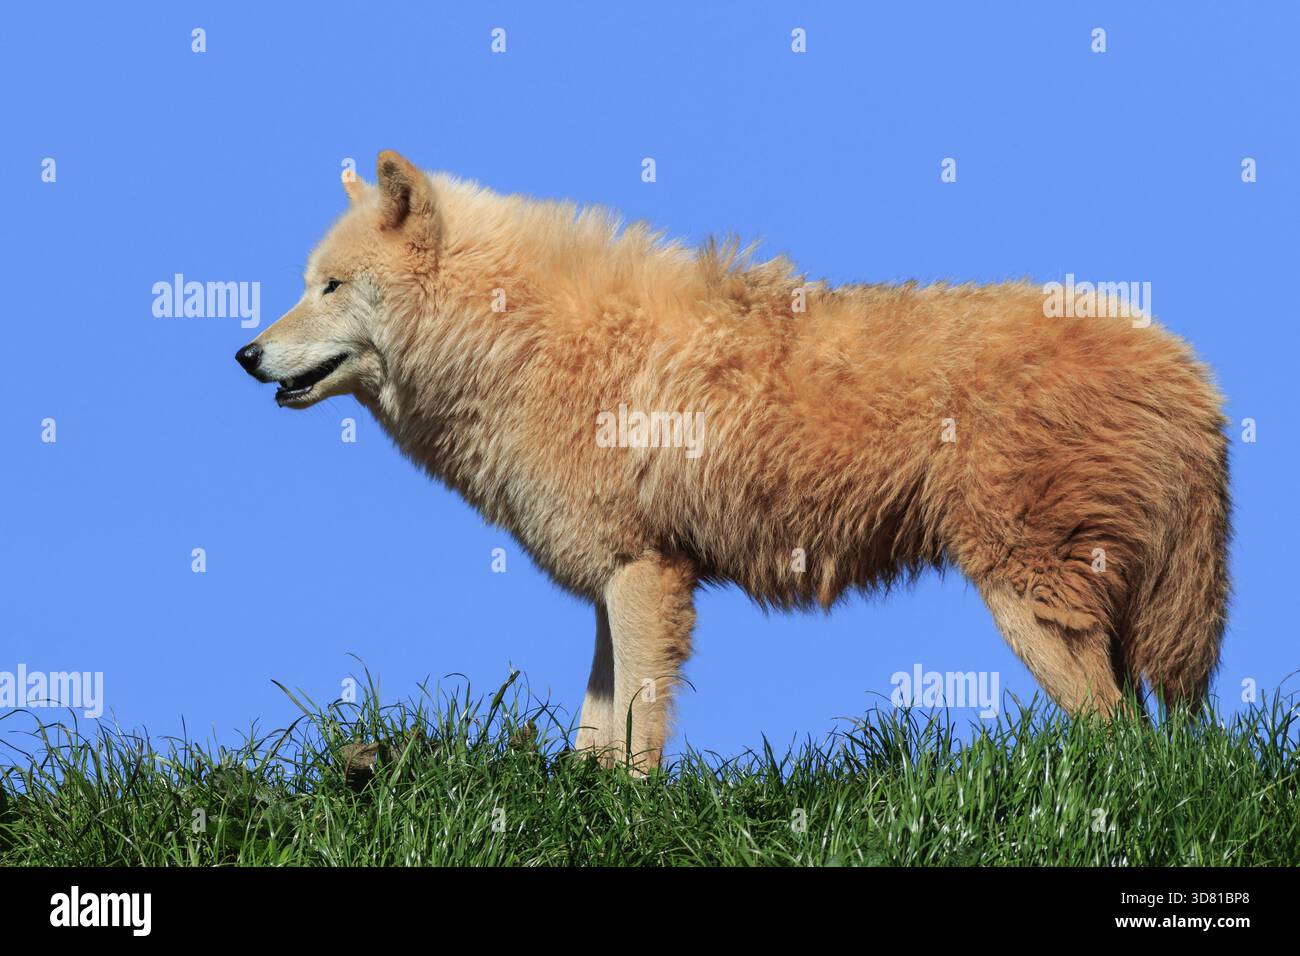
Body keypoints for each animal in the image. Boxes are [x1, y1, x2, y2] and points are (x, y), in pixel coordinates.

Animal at [237, 151, 1230, 769]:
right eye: (304, 285)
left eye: (329, 287)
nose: (245, 355)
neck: (521, 344)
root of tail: (1186, 367)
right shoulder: (621, 579)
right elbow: (595, 734)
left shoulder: (646, 574)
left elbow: (638, 735)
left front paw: (633, 813)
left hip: (1029, 603)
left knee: (1121, 738)